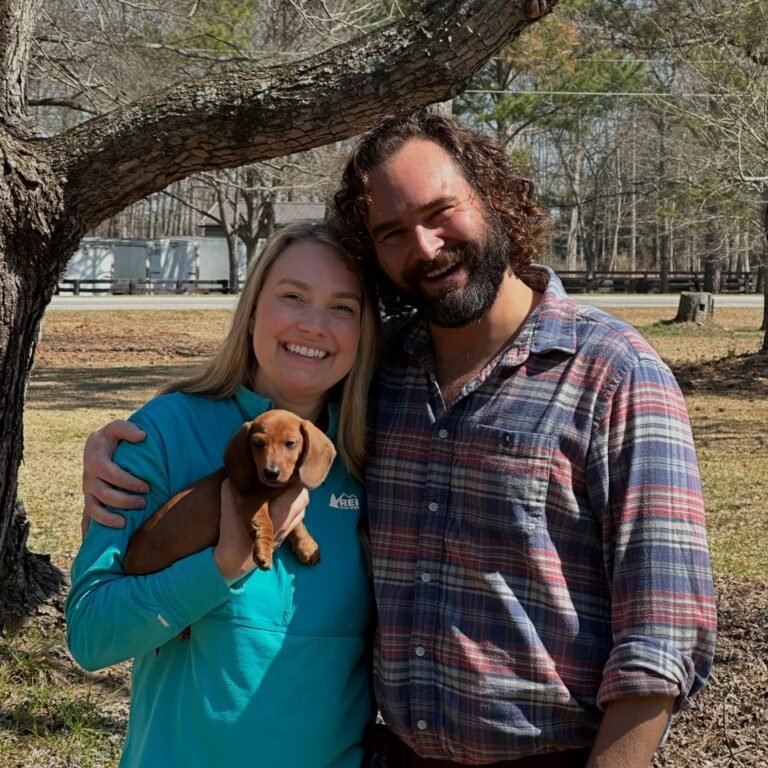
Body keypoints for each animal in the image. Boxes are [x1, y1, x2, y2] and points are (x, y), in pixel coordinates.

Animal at [123, 409, 337, 576]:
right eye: (258, 444)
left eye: (290, 443)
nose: (271, 473)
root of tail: (127, 560)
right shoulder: (249, 498)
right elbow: (265, 522)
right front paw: (264, 550)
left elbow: (297, 524)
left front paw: (306, 546)